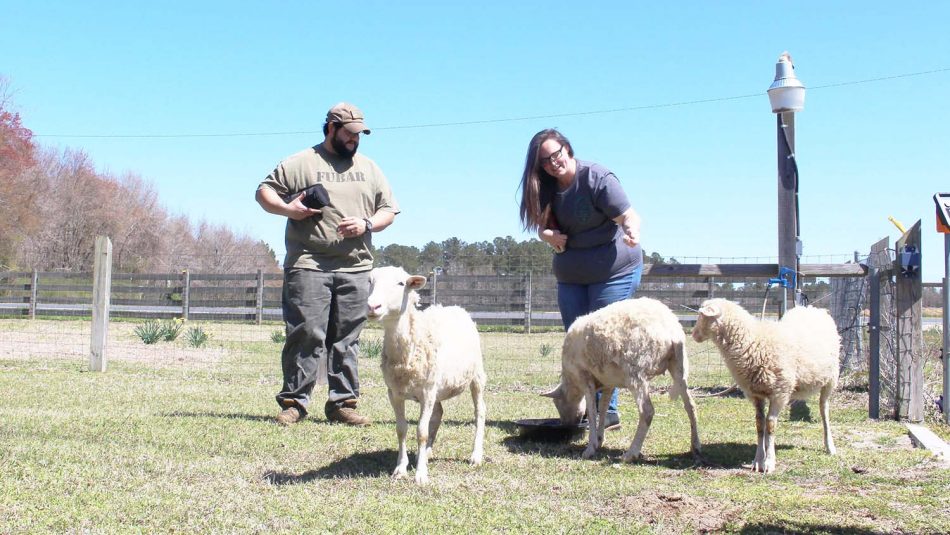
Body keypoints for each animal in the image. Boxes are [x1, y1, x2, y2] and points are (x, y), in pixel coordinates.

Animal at [368, 266, 488, 486]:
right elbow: (401, 429)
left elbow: (421, 432)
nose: (372, 306)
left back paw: (476, 455)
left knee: (480, 412)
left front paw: (421, 474)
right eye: (370, 281)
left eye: (401, 283)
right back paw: (427, 453)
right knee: (438, 414)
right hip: (436, 387)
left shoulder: (427, 393)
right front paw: (401, 469)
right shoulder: (394, 393)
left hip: (476, 376)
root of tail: (456, 308)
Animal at [544, 300, 700, 462]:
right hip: (678, 366)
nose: (566, 425)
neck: (572, 382)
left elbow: (592, 412)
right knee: (690, 406)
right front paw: (599, 439)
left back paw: (631, 453)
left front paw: (590, 448)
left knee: (647, 411)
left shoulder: (585, 378)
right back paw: (695, 446)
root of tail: (671, 331)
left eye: (557, 403)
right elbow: (603, 408)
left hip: (636, 372)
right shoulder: (608, 383)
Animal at [692, 300, 840, 476]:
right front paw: (758, 461)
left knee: (824, 409)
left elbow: (770, 425)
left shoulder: (780, 392)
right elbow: (759, 424)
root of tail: (813, 309)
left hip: (831, 378)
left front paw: (769, 462)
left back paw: (830, 446)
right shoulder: (755, 393)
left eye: (701, 315)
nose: (693, 334)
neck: (753, 342)